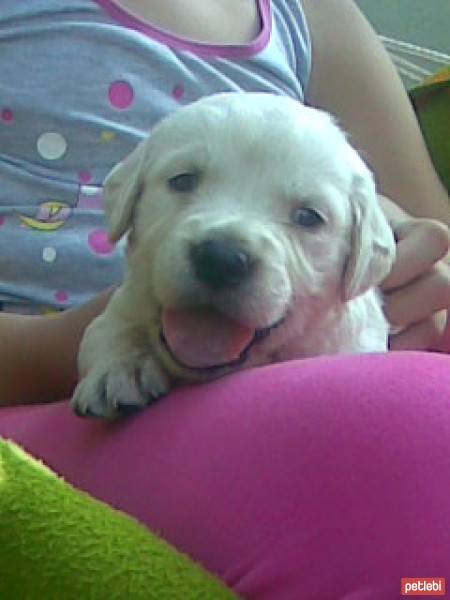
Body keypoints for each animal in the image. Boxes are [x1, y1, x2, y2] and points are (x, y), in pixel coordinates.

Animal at [70, 92, 394, 418]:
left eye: (308, 216)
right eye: (183, 180)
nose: (220, 261)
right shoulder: (124, 304)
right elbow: (108, 330)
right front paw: (121, 369)